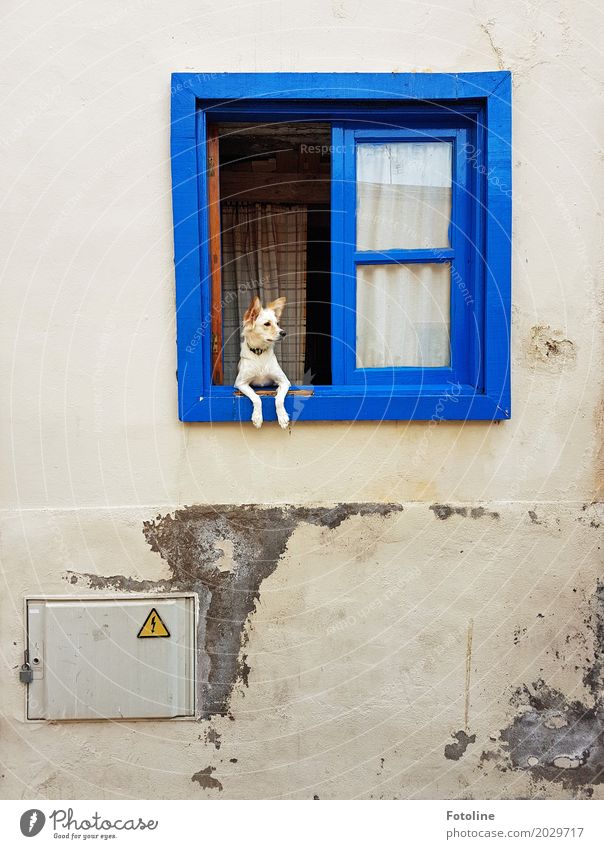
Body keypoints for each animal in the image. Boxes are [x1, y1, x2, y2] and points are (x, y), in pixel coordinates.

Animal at [235, 296, 292, 430]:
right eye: (267, 324)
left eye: (277, 324)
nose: (283, 333)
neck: (259, 353)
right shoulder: (240, 383)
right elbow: (256, 398)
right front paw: (257, 417)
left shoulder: (285, 382)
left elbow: (279, 399)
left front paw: (282, 417)